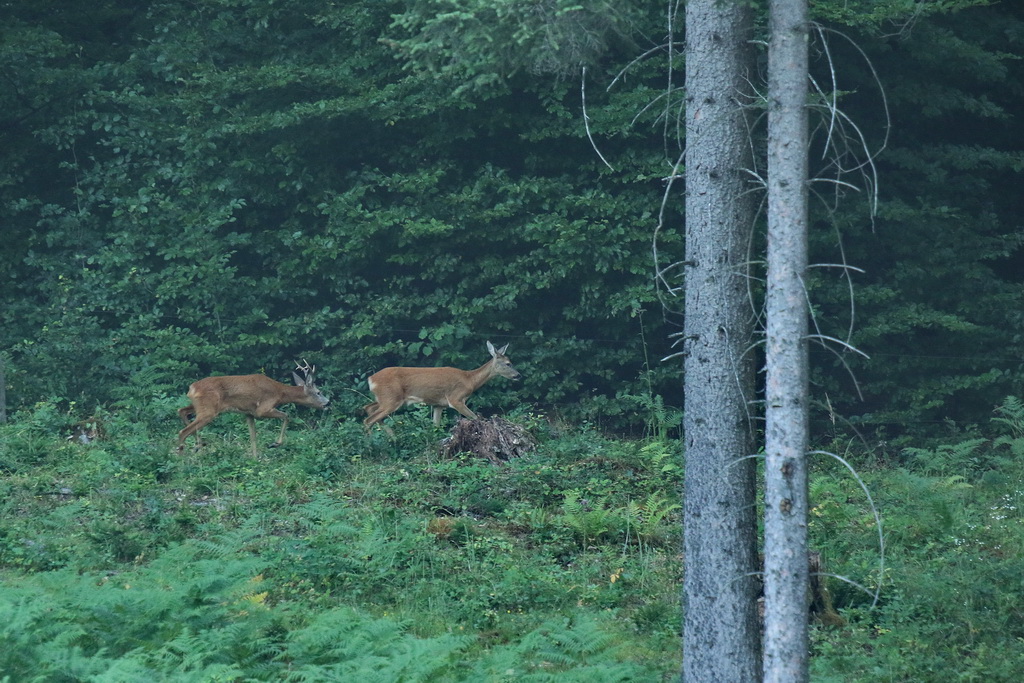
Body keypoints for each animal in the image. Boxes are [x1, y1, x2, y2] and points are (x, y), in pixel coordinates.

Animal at [176, 360, 327, 456]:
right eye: (318, 392)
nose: (328, 403)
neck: (280, 392)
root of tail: (192, 388)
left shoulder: (248, 413)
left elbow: (253, 437)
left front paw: (255, 459)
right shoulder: (262, 409)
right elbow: (286, 416)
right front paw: (274, 444)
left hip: (199, 406)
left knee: (181, 411)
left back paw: (198, 445)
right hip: (208, 410)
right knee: (183, 431)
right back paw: (183, 458)